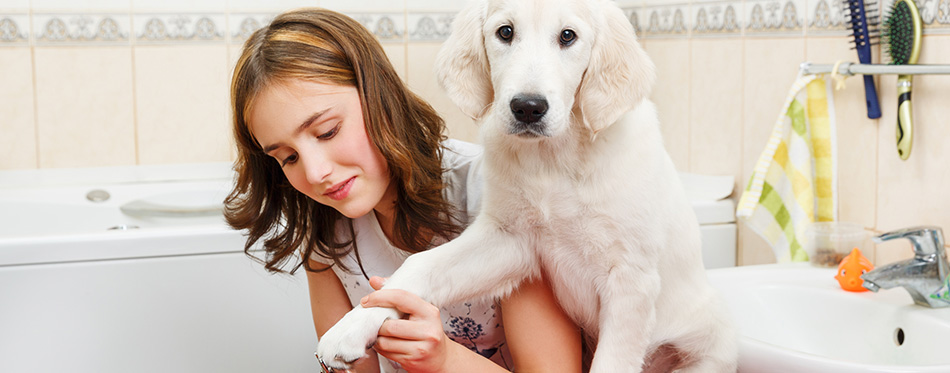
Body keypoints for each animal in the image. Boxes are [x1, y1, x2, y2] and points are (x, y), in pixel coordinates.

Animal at [316, 0, 740, 370]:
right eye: (505, 32)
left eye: (568, 36)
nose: (528, 108)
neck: (555, 160)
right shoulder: (509, 238)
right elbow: (421, 266)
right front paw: (351, 327)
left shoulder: (630, 278)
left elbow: (613, 361)